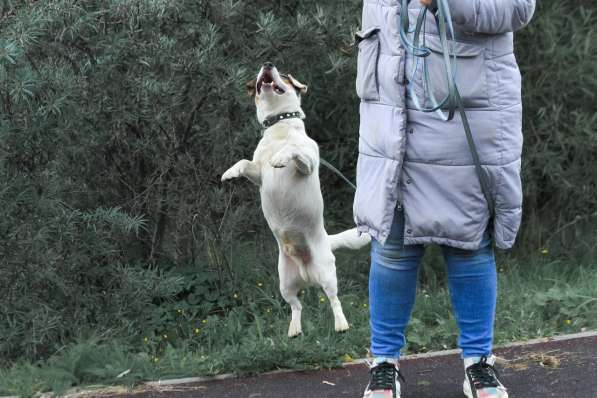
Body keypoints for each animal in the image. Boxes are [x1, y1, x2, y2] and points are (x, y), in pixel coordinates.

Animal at [220, 63, 368, 338]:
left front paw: (280, 158)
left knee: (334, 299)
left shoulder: (306, 164)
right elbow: (246, 163)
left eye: (285, 77)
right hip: (285, 283)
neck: (279, 130)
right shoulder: (258, 175)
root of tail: (306, 272)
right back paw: (295, 329)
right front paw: (230, 172)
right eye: (260, 74)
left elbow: (293, 150)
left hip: (327, 272)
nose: (267, 64)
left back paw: (341, 324)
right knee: (296, 306)